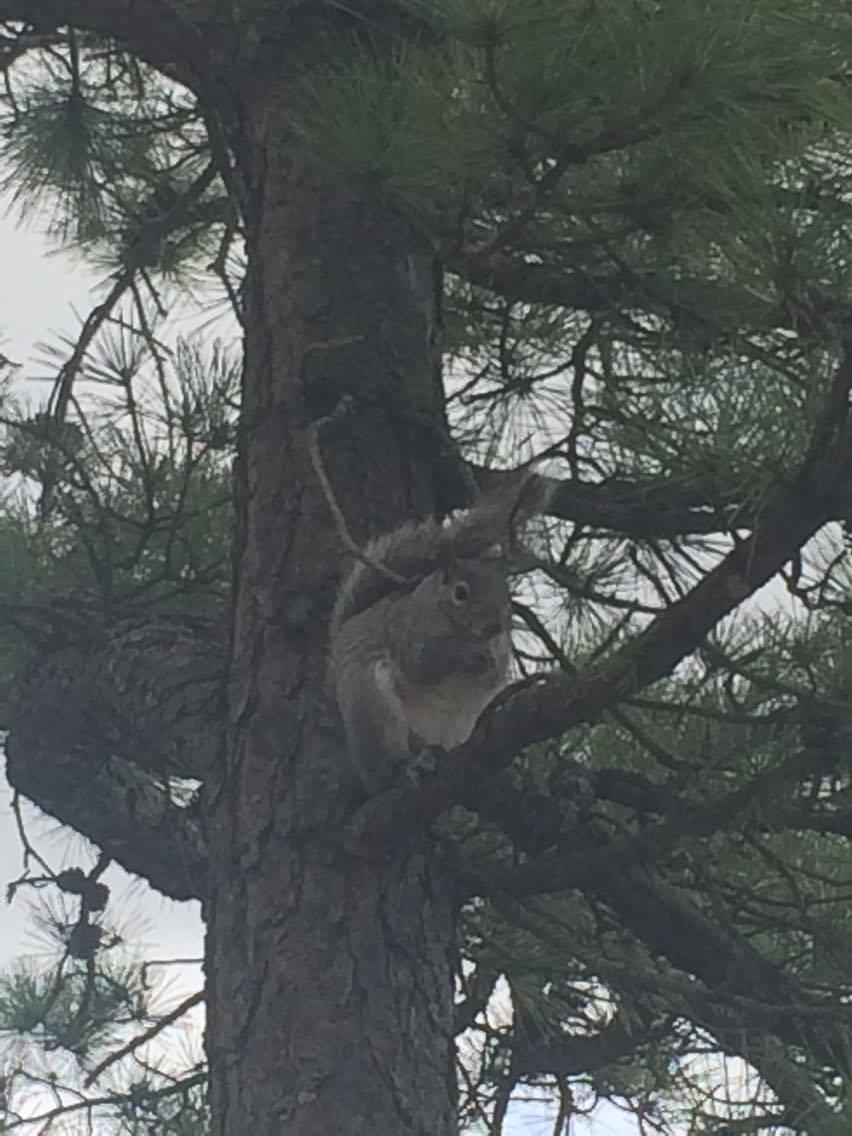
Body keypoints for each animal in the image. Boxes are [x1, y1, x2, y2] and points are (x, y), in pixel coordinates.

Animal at [329, 470, 547, 790]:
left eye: (506, 593)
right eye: (460, 593)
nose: (494, 625)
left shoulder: (501, 646)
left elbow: (493, 675)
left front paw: (488, 661)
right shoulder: (410, 633)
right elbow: (425, 664)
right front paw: (469, 654)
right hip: (373, 706)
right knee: (388, 763)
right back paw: (408, 764)